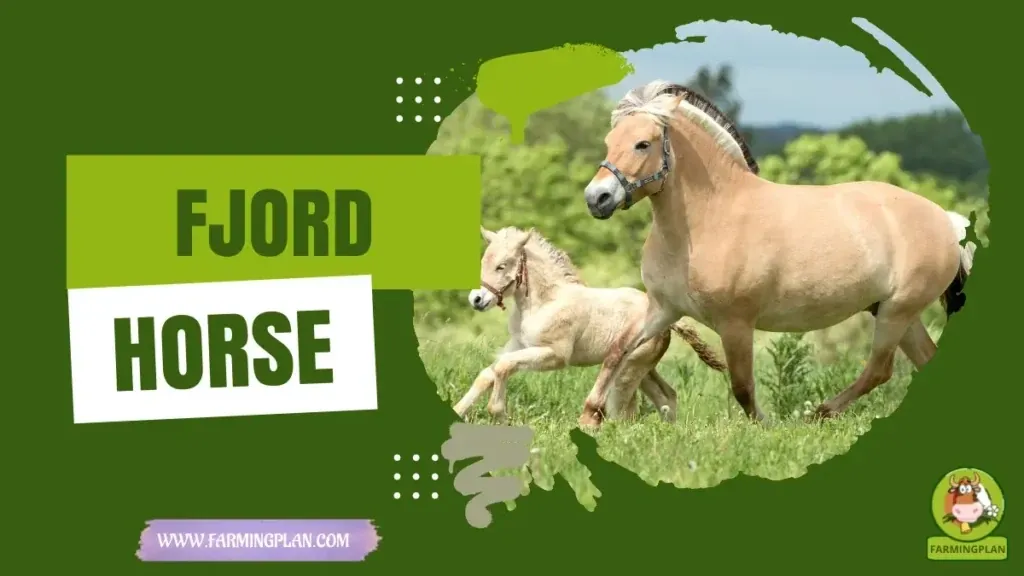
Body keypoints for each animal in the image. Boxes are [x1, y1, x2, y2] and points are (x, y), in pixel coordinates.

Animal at [451, 225, 726, 425]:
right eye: (483, 262)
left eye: (502, 265)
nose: (476, 299)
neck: (546, 302)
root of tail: (669, 320)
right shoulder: (518, 344)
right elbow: (488, 373)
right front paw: (457, 411)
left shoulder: (555, 355)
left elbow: (503, 367)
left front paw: (497, 412)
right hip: (643, 368)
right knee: (666, 396)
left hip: (628, 370)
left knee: (623, 410)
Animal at [578, 79, 977, 427]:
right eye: (610, 141)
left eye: (643, 144)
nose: (597, 198)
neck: (710, 219)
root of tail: (947, 221)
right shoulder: (663, 309)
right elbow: (616, 351)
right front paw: (589, 417)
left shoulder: (736, 324)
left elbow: (742, 387)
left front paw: (766, 426)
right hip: (895, 313)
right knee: (920, 360)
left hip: (897, 312)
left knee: (879, 370)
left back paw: (819, 414)